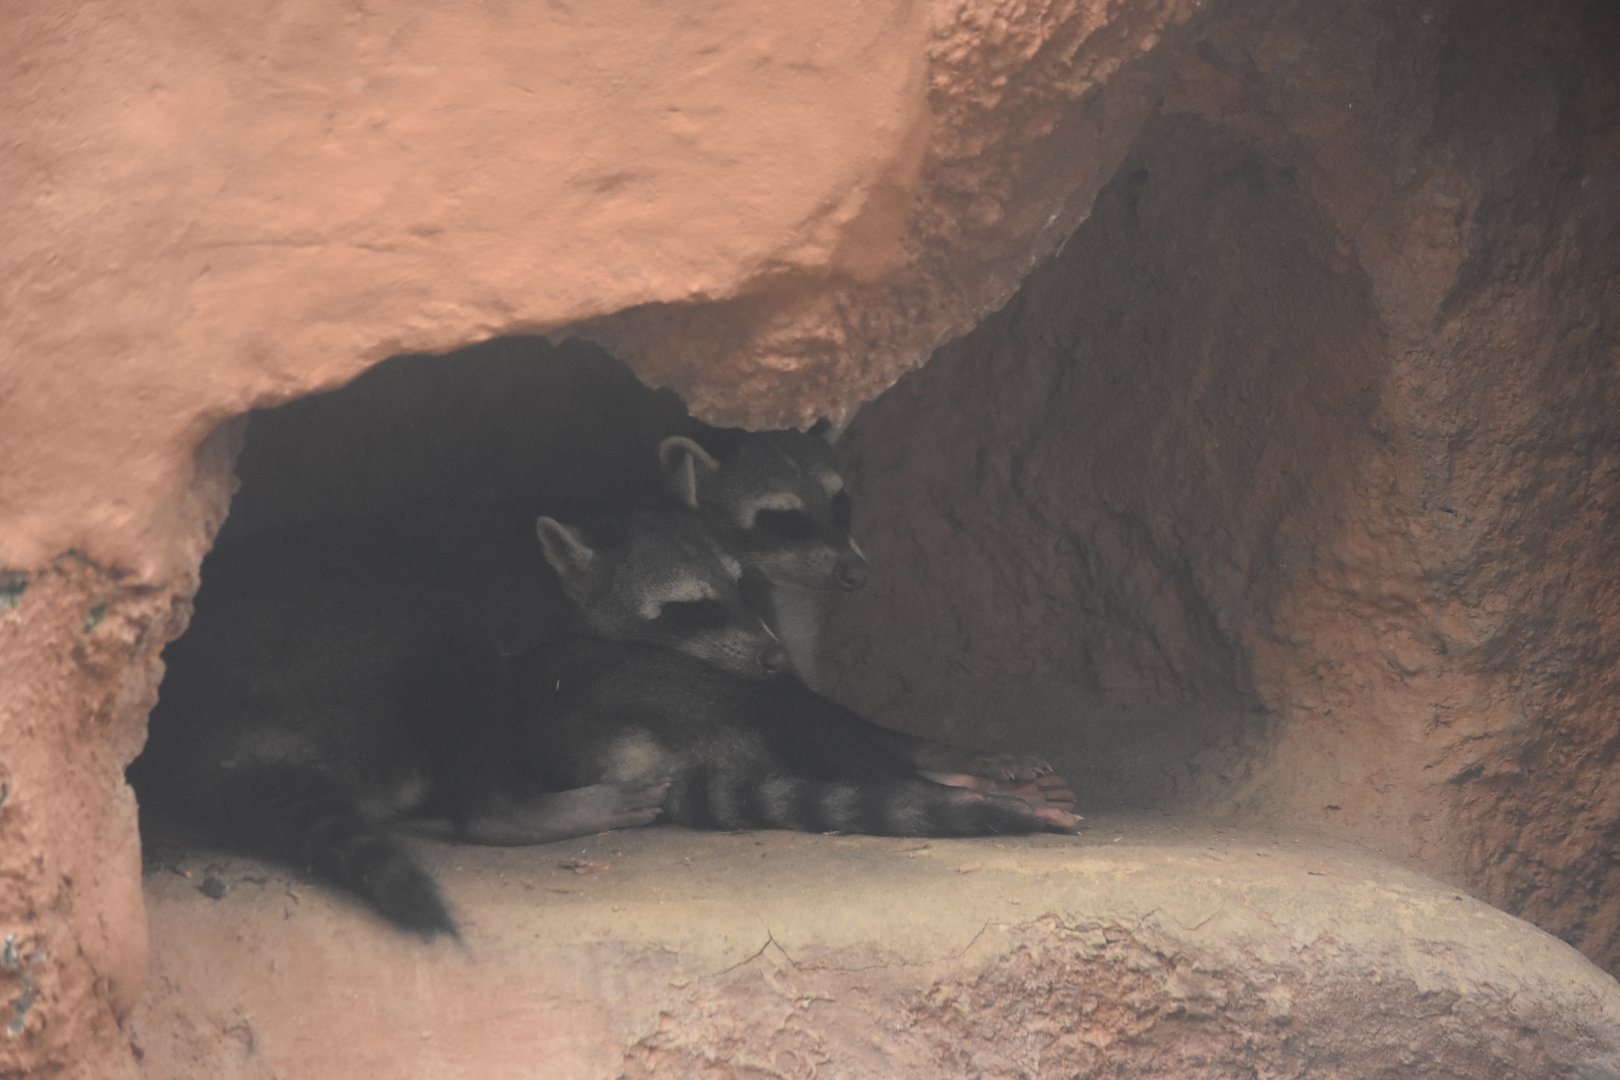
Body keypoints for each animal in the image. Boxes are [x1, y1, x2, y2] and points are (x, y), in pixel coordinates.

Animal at [132, 504, 781, 938]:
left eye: (744, 584)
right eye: (694, 608)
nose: (776, 657)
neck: (543, 579)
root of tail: (206, 749)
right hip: (328, 664)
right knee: (449, 637)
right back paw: (508, 809)